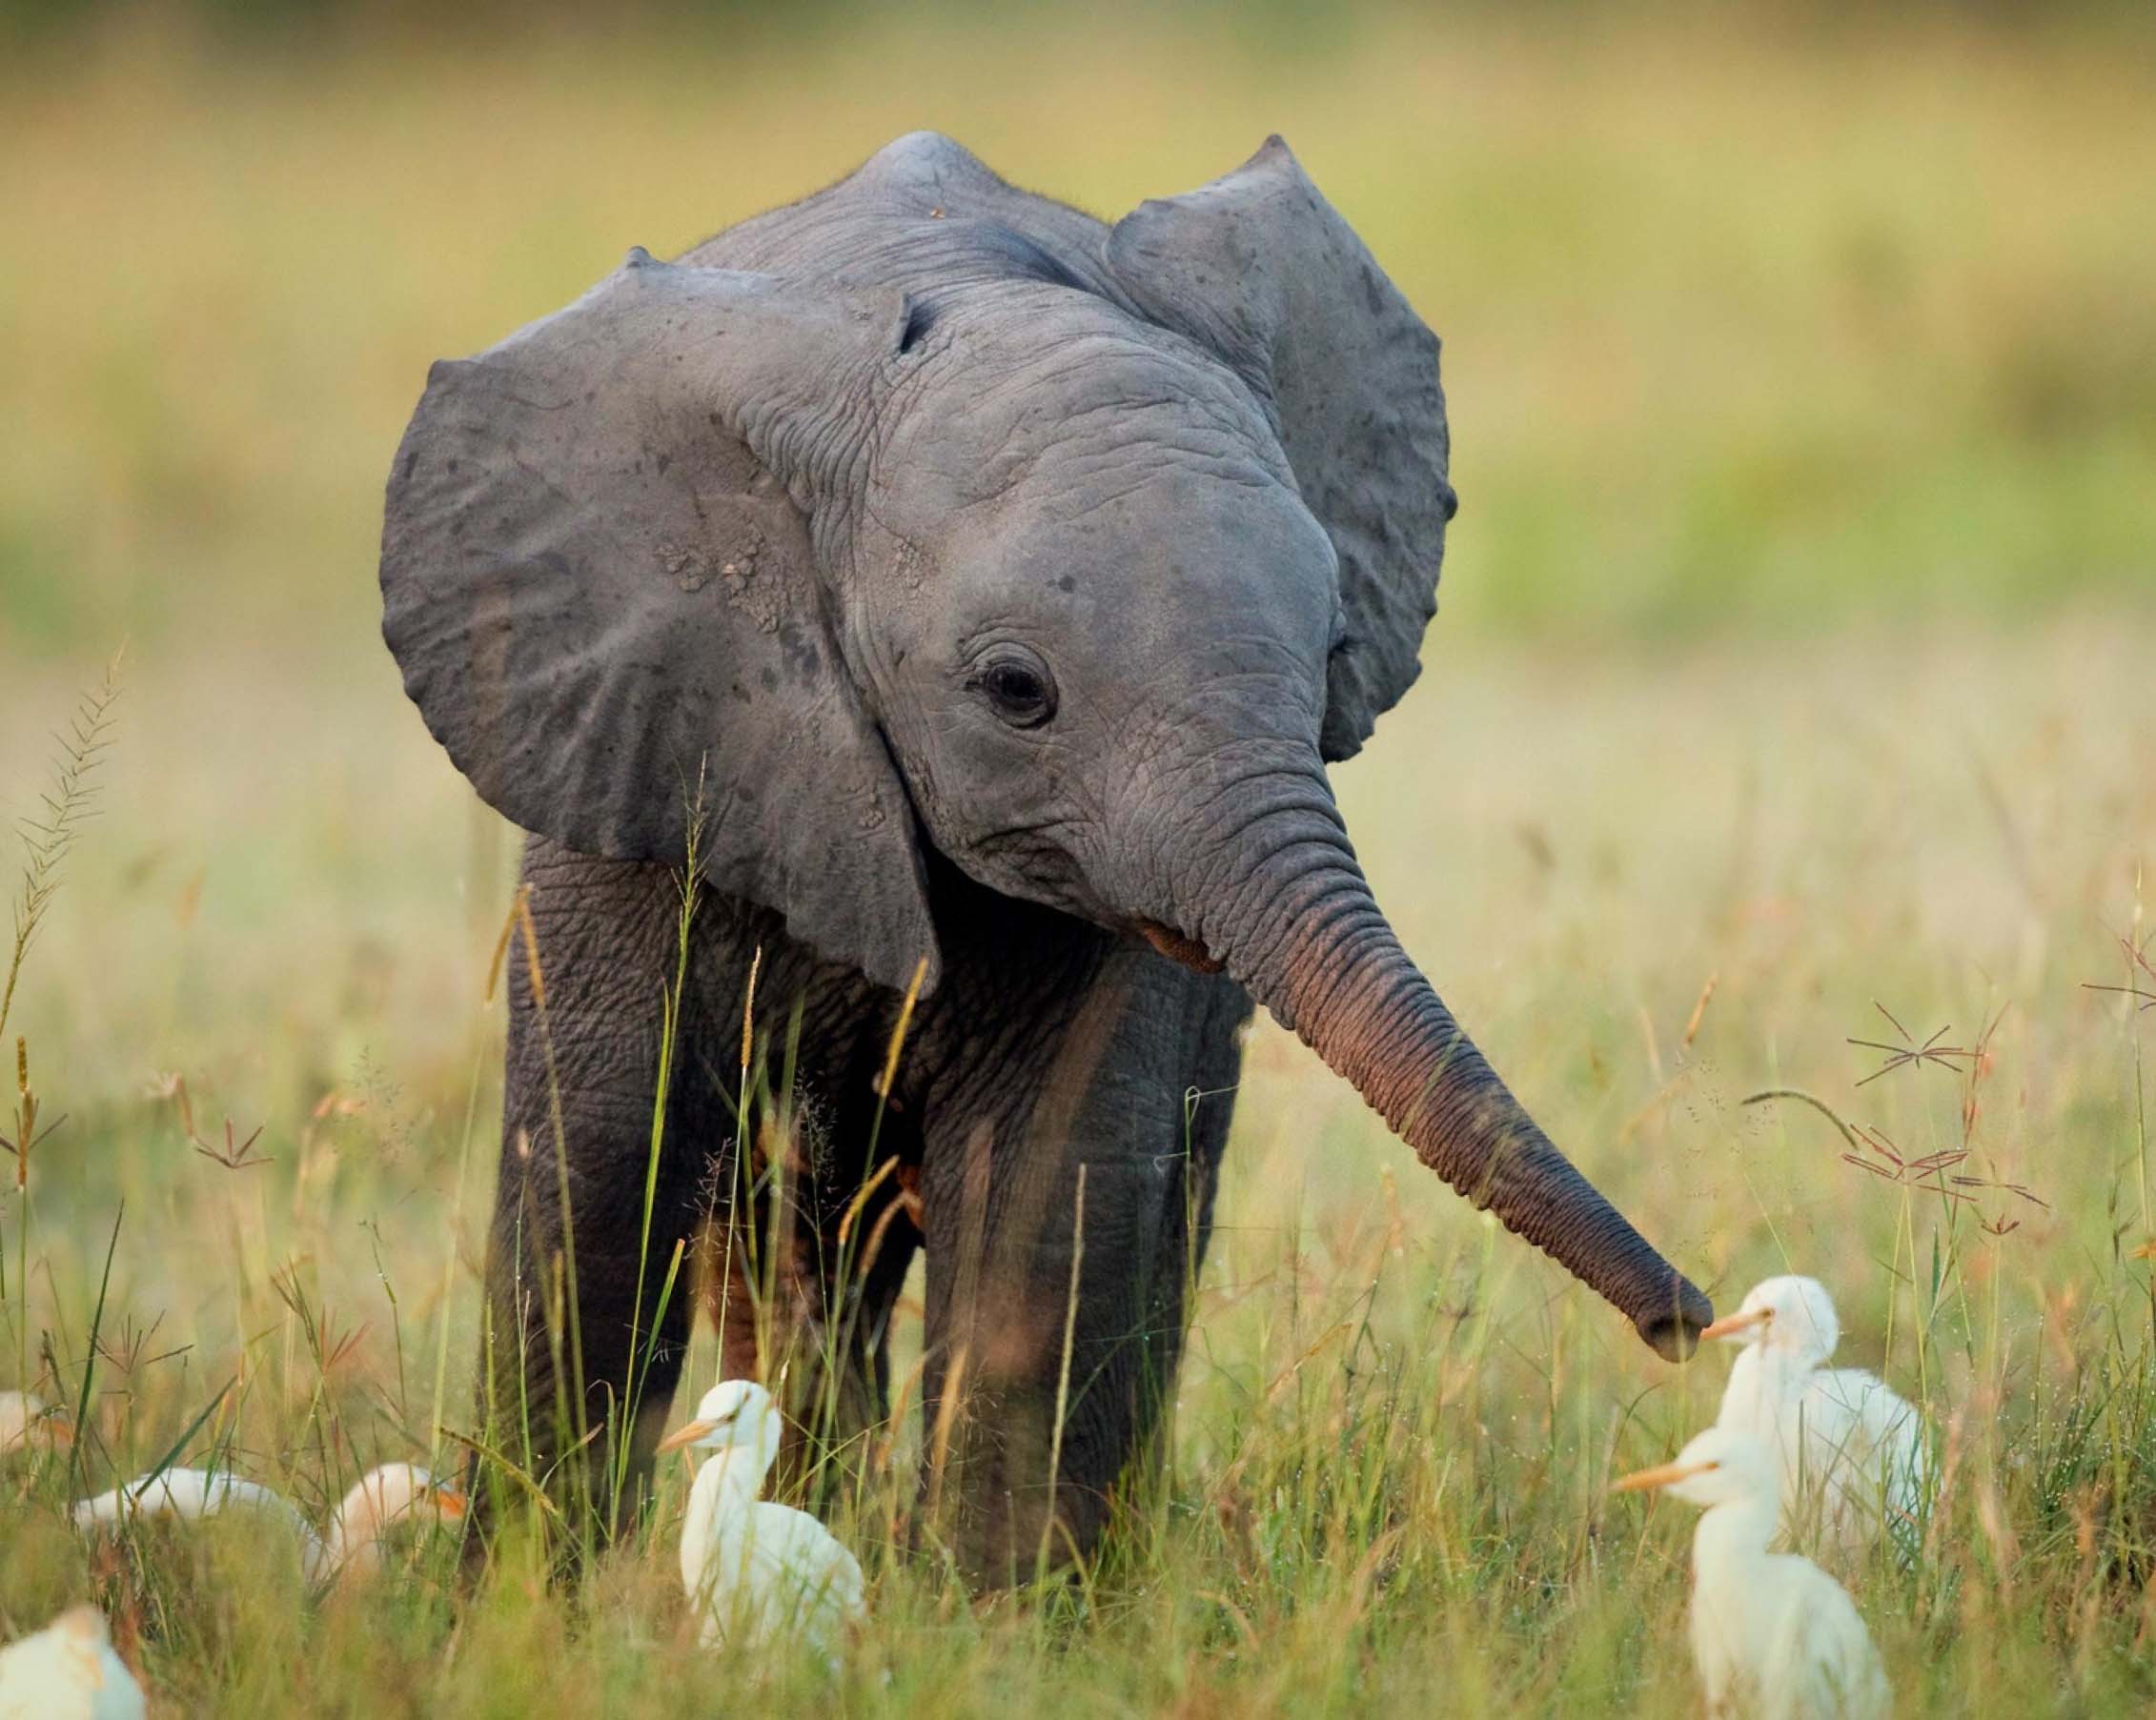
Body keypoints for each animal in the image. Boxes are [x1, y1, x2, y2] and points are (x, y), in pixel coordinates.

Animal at [383, 131, 1698, 1586]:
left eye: (1336, 653)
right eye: (1016, 691)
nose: (1688, 1323)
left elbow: (1048, 1191)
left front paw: (995, 1615)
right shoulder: (640, 734)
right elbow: (601, 1172)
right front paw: (522, 1603)